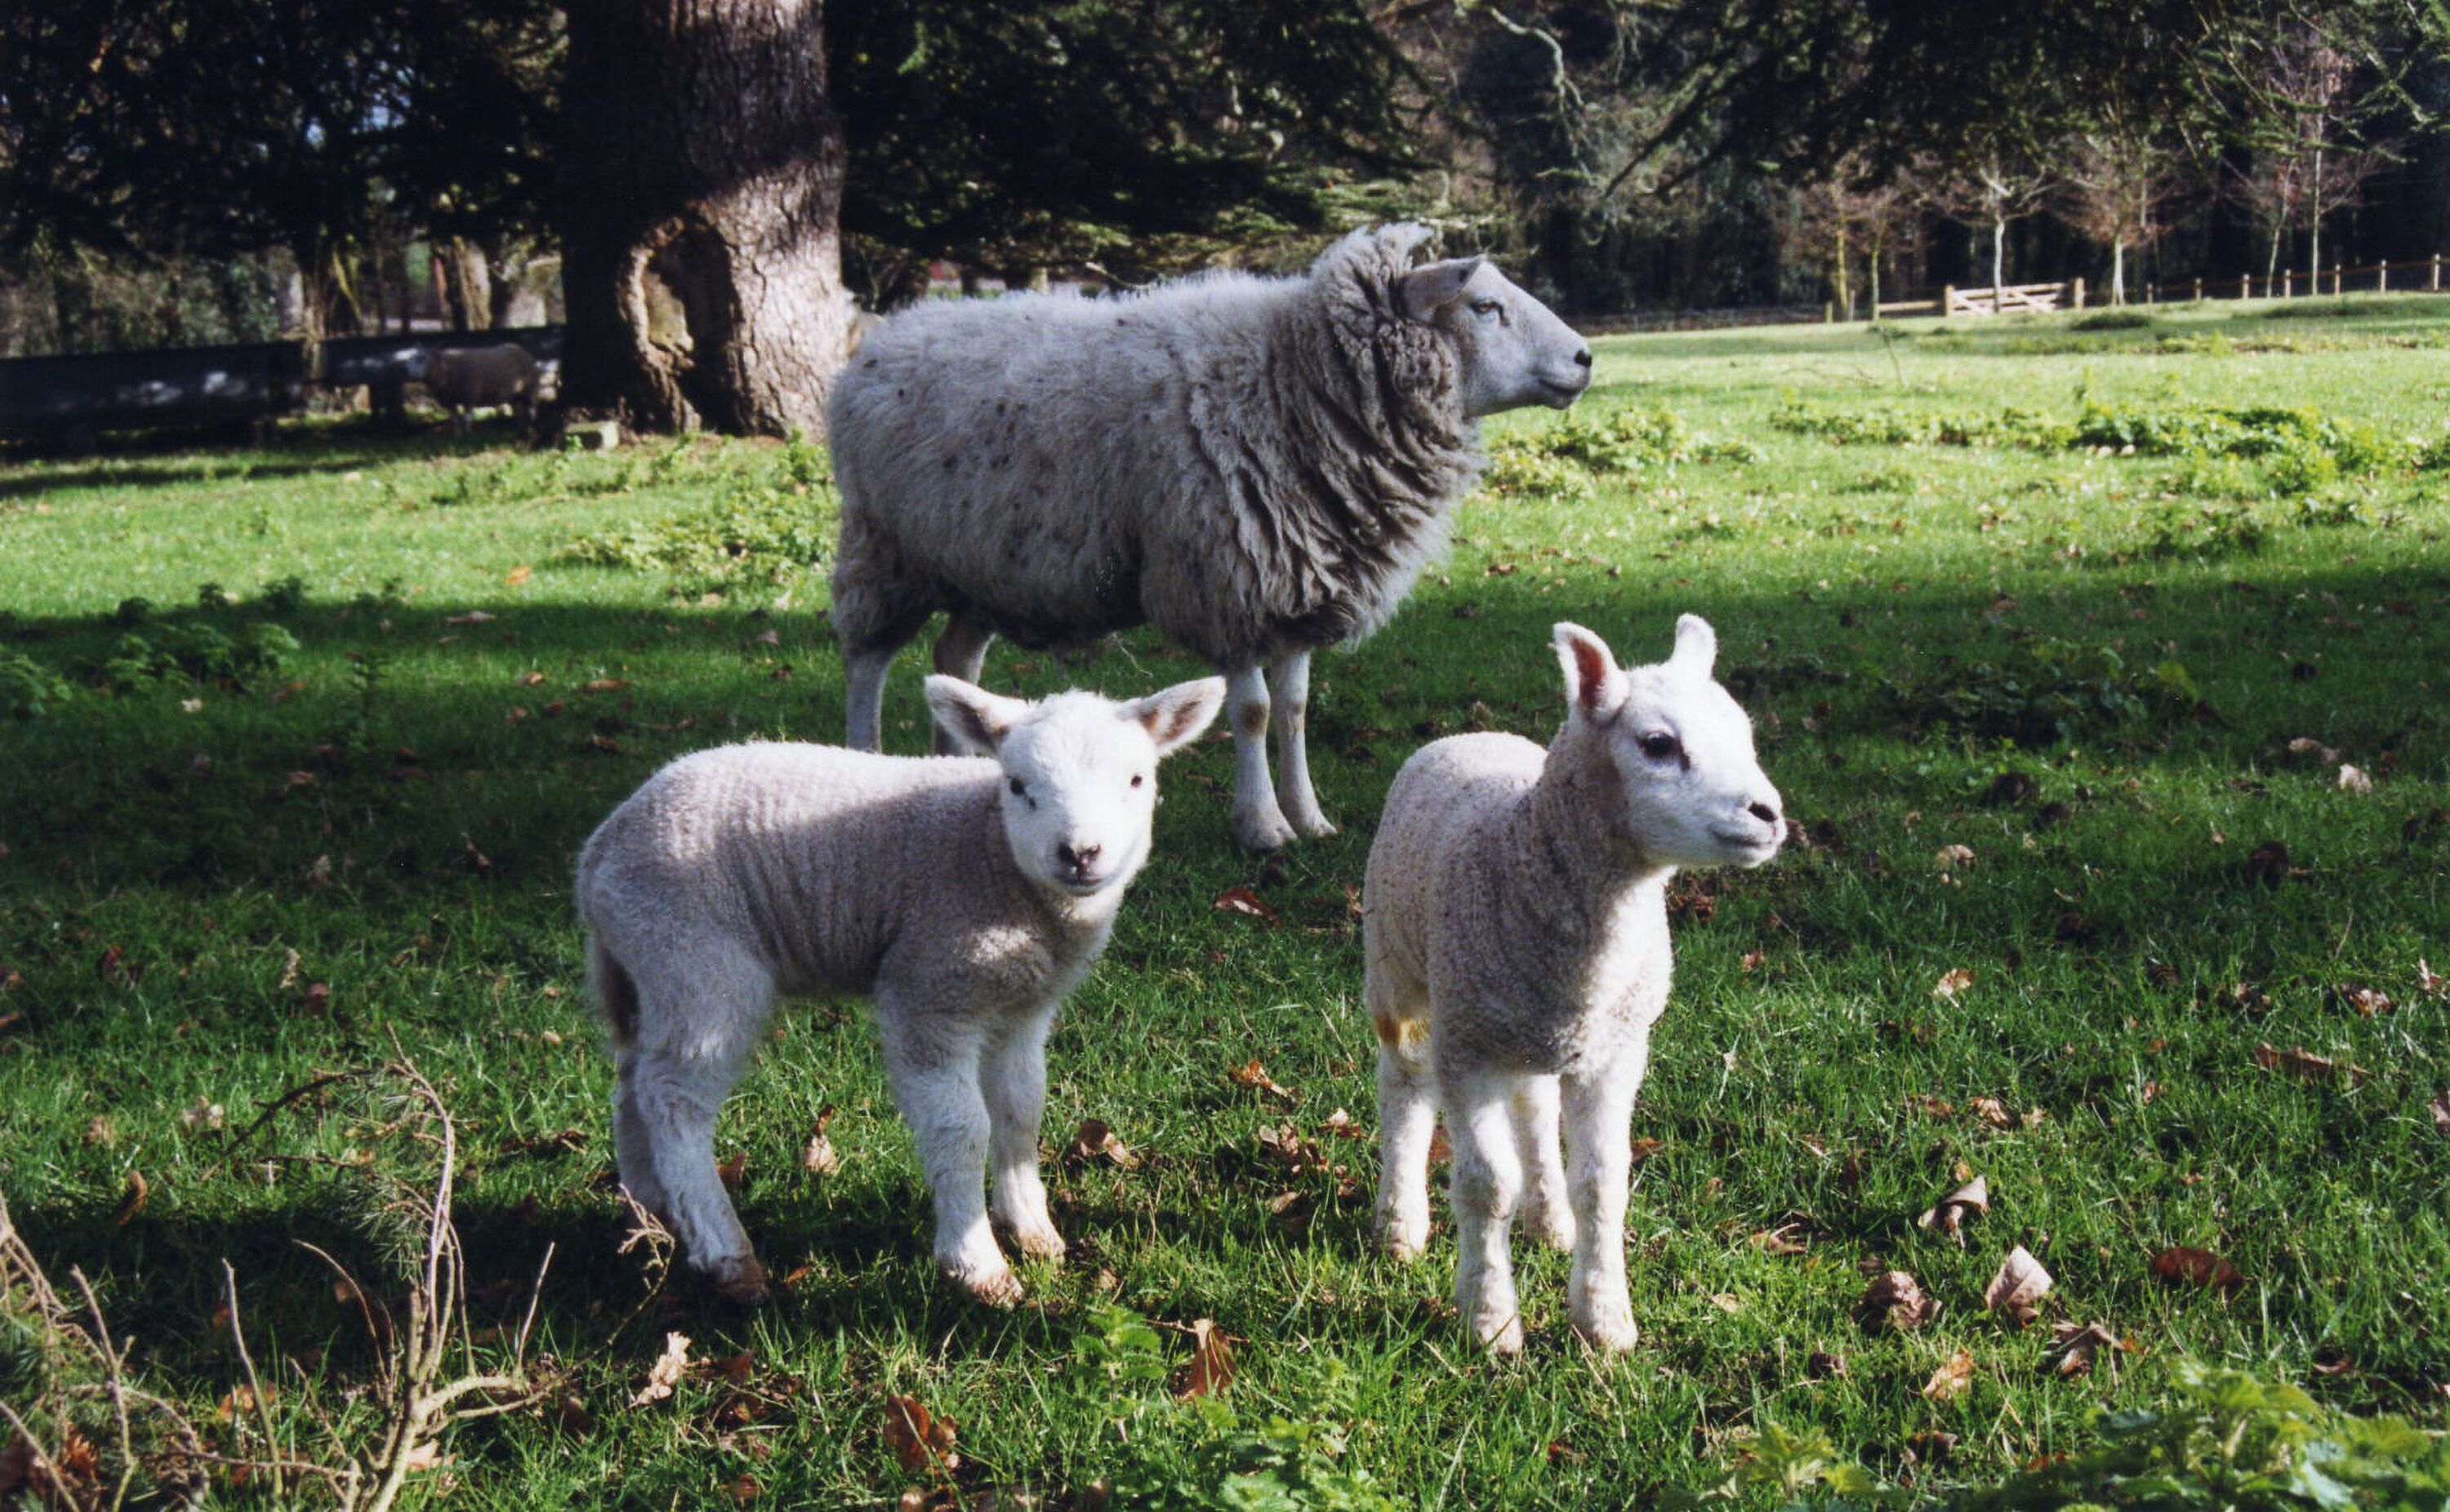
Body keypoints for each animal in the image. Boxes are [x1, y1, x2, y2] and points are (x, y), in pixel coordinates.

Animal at [420, 344, 540, 436]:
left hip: (530, 390)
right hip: (515, 395)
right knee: (519, 411)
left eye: (422, 357)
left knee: (531, 409)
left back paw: (532, 427)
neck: (445, 369)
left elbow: (467, 418)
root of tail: (518, 348)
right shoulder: (450, 402)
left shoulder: (470, 396)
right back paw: (521, 429)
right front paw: (457, 435)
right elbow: (455, 420)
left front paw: (468, 434)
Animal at [576, 672, 1224, 1305]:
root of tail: (601, 848)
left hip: (649, 967)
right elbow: (961, 1128)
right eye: (1017, 786)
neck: (990, 851)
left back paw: (649, 1217)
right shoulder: (928, 988)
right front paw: (977, 1264)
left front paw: (1031, 1229)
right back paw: (725, 1253)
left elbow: (1021, 1110)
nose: (1080, 852)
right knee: (674, 1096)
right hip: (699, 961)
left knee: (633, 1085)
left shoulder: (1023, 1007)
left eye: (1136, 779)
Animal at [828, 223, 1593, 852]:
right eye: (1484, 306)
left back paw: (954, 766)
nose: (1586, 357)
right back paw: (866, 757)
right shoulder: (1230, 580)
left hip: (980, 565)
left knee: (954, 657)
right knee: (867, 660)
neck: (1295, 381)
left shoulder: (1299, 578)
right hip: (884, 549)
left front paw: (1311, 817)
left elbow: (1295, 708)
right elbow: (1252, 711)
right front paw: (1263, 828)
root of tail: (888, 336)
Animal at [1363, 615, 1785, 1355]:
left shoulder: (1616, 1051)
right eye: (1656, 744)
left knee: (1532, 1109)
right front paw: (1490, 1322)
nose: (1769, 814)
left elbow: (1603, 1183)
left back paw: (1549, 1219)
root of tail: (1469, 734)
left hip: (1525, 1025)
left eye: (1744, 734)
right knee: (1405, 1091)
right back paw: (1399, 1226)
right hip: (1398, 970)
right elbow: (1485, 1185)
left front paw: (1604, 1319)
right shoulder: (1465, 1047)